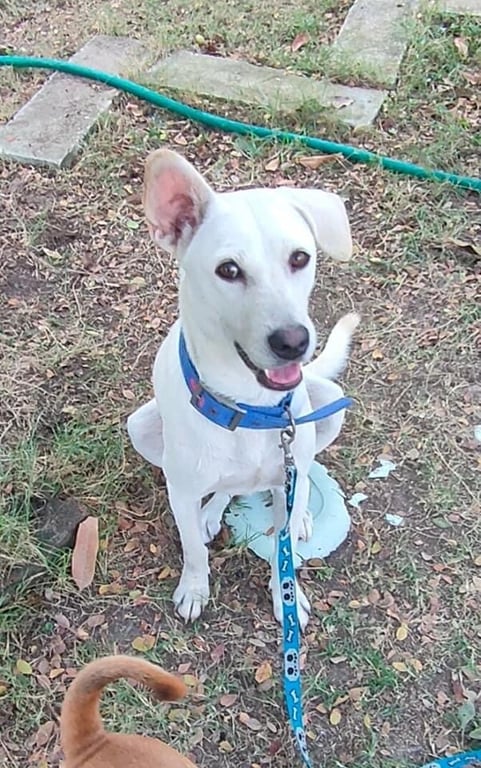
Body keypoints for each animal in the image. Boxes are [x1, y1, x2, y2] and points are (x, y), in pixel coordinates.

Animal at [127, 149, 358, 629]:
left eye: (300, 258)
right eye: (228, 270)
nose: (293, 341)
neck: (254, 407)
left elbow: (282, 552)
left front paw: (286, 595)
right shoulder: (181, 491)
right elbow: (193, 551)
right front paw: (195, 588)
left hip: (330, 409)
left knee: (297, 479)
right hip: (140, 427)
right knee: (226, 490)